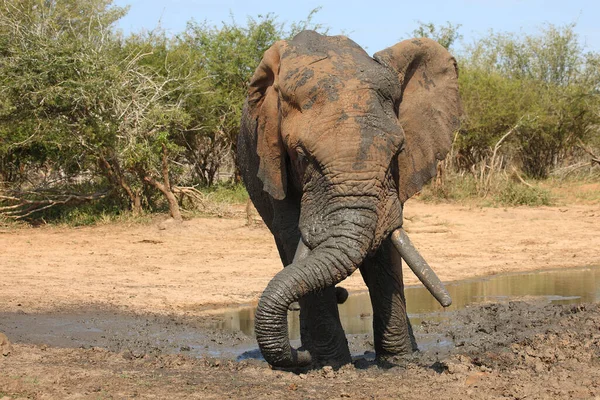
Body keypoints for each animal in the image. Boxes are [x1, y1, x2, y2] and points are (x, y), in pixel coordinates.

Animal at [237, 30, 462, 368]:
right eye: (301, 156)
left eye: (398, 151)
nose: (299, 357)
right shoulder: (272, 158)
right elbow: (291, 236)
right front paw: (333, 364)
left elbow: (387, 246)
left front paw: (400, 362)